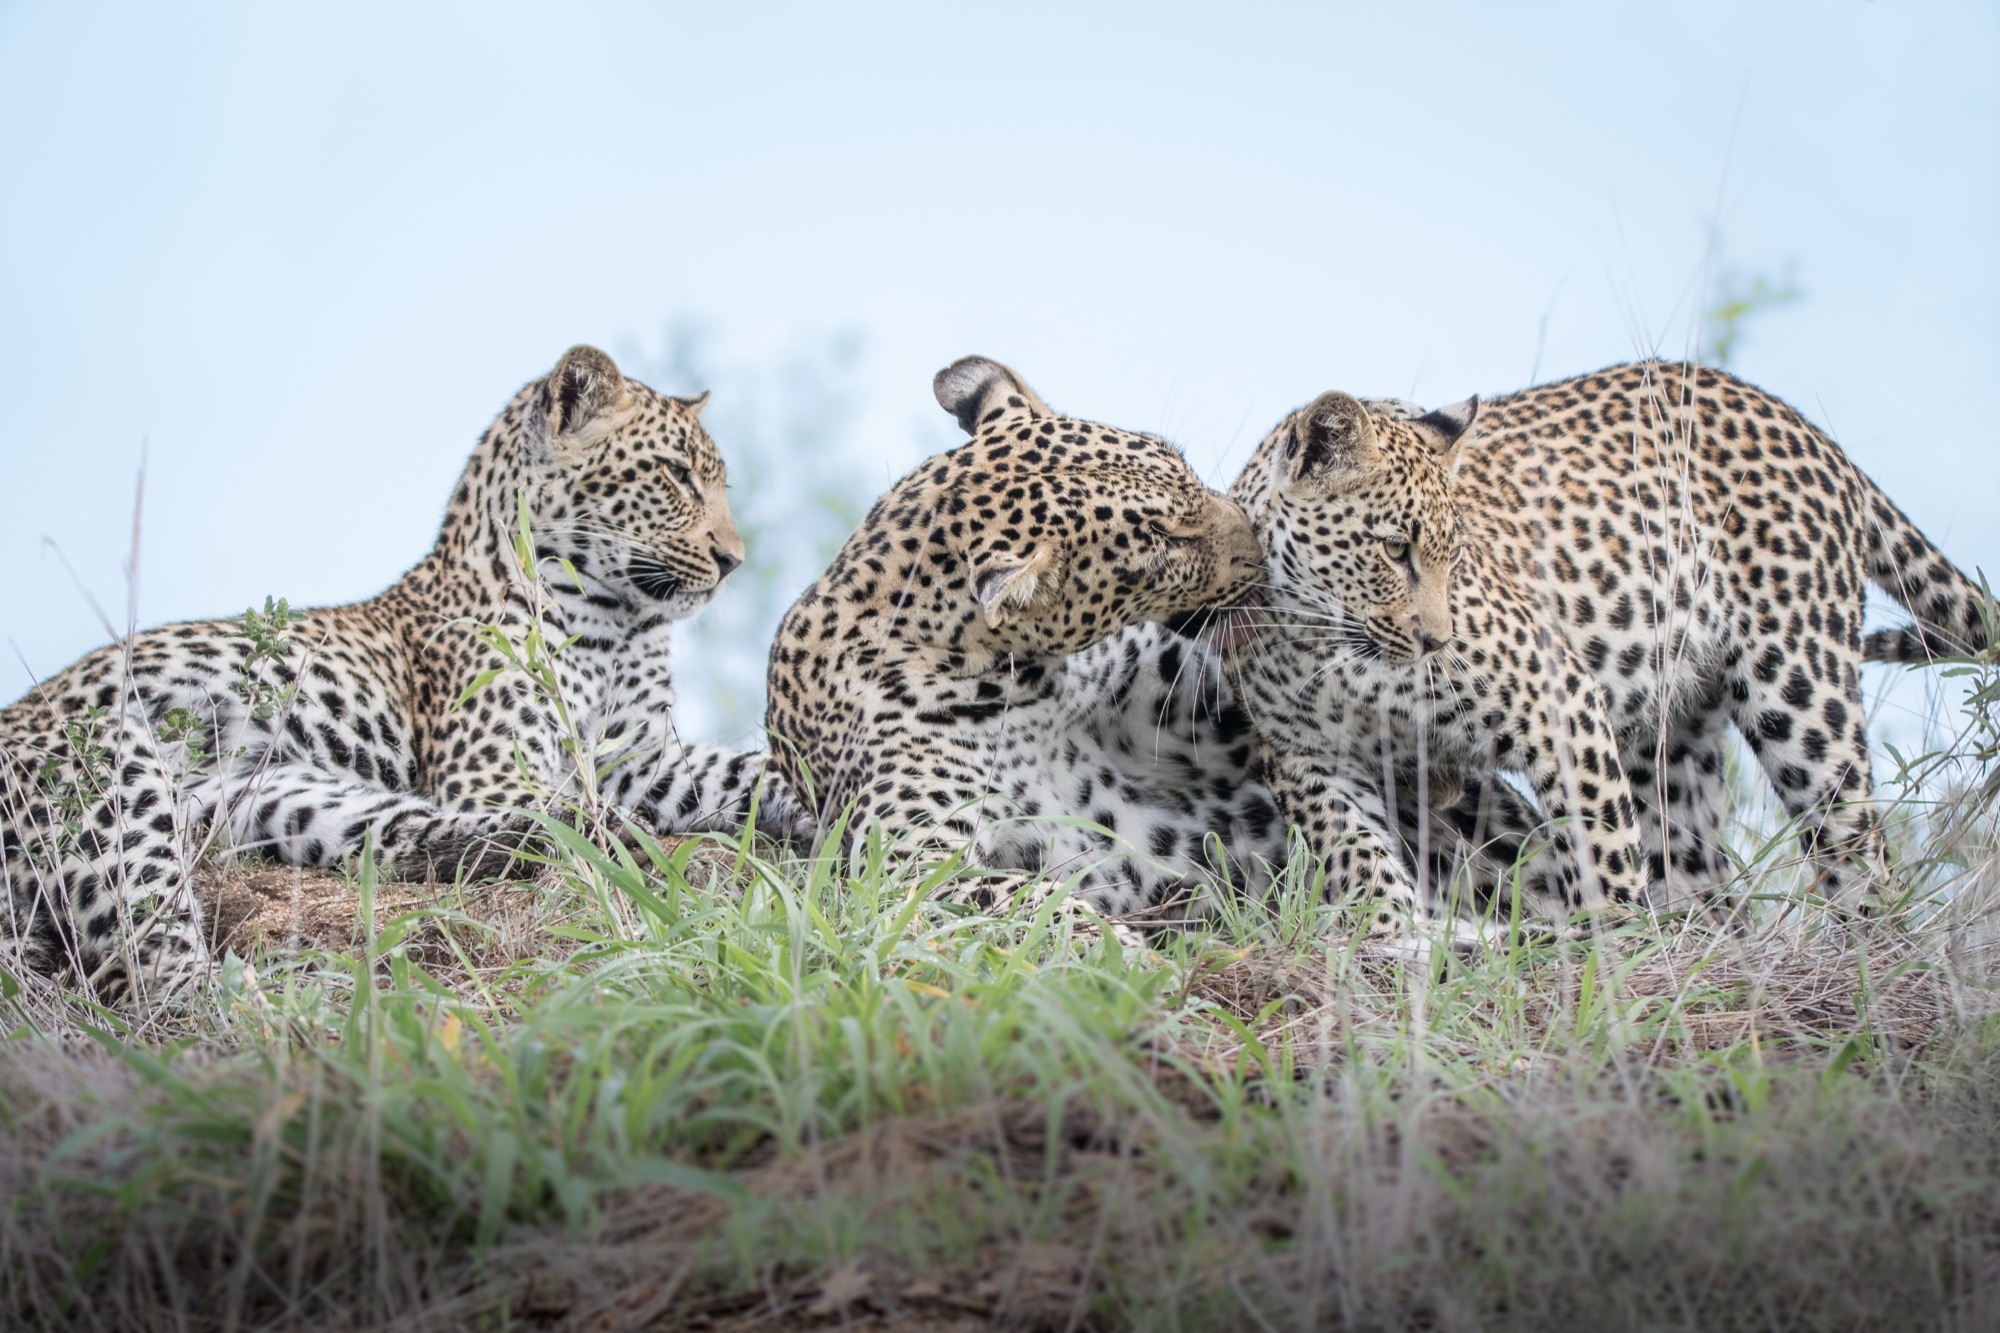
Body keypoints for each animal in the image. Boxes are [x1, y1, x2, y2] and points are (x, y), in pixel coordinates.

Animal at [0, 344, 806, 1008]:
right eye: (674, 475)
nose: (733, 559)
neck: (614, 618)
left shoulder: (639, 758)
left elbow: (742, 769)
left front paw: (811, 800)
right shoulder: (493, 770)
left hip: (265, 797)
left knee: (405, 836)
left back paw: (567, 834)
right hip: (106, 767)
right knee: (141, 965)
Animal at [764, 356, 1280, 941]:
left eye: (1185, 464)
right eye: (1166, 542)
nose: (1262, 548)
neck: (1024, 686)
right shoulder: (907, 865)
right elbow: (1032, 907)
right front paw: (1123, 951)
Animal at [1225, 360, 1992, 937]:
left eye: (1455, 556)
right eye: (1393, 550)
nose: (1435, 639)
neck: (1325, 648)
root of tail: (1803, 425)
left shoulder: (1555, 699)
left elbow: (1600, 846)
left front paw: (1617, 952)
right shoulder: (1310, 758)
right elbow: (1357, 856)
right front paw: (1397, 941)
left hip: (1801, 691)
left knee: (1859, 850)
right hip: (1674, 739)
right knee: (1704, 875)